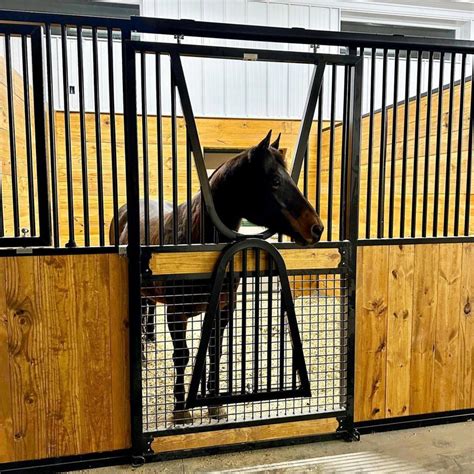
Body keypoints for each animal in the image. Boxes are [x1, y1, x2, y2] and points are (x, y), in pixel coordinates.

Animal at [110, 131, 326, 424]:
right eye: (275, 180)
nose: (316, 228)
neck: (195, 234)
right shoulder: (176, 313)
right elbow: (182, 356)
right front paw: (180, 410)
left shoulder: (223, 310)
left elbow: (214, 351)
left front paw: (215, 405)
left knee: (147, 310)